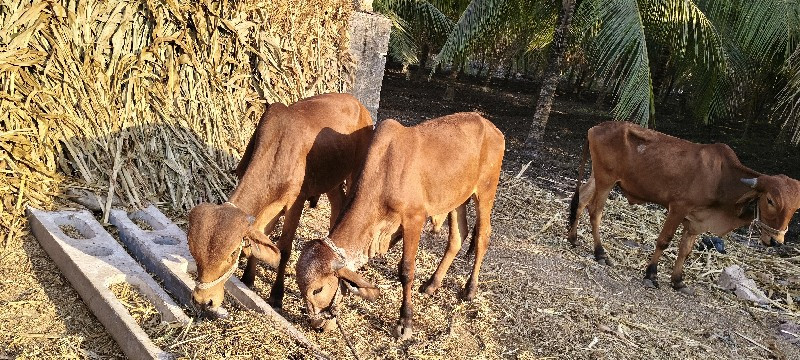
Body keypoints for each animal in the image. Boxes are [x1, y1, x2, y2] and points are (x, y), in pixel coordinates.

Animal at [188, 93, 376, 316]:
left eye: (232, 253)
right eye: (193, 250)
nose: (203, 300)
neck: (277, 149)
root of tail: (358, 104)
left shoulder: (296, 202)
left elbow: (284, 249)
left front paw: (277, 295)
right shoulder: (268, 207)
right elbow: (261, 238)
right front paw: (247, 279)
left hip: (354, 172)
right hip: (331, 179)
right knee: (337, 204)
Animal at [294, 113, 506, 340]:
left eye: (317, 290)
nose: (316, 324)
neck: (384, 174)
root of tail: (490, 126)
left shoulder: (414, 219)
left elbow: (406, 271)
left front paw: (405, 322)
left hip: (485, 191)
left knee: (483, 236)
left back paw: (470, 289)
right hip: (457, 198)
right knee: (457, 237)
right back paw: (432, 284)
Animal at [564, 121, 800, 292]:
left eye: (796, 208)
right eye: (770, 200)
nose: (776, 241)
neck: (721, 178)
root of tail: (596, 128)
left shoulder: (695, 220)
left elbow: (685, 249)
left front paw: (678, 281)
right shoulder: (678, 208)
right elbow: (664, 241)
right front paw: (651, 275)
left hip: (598, 177)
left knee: (581, 200)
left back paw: (573, 238)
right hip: (607, 180)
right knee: (595, 211)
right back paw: (600, 253)